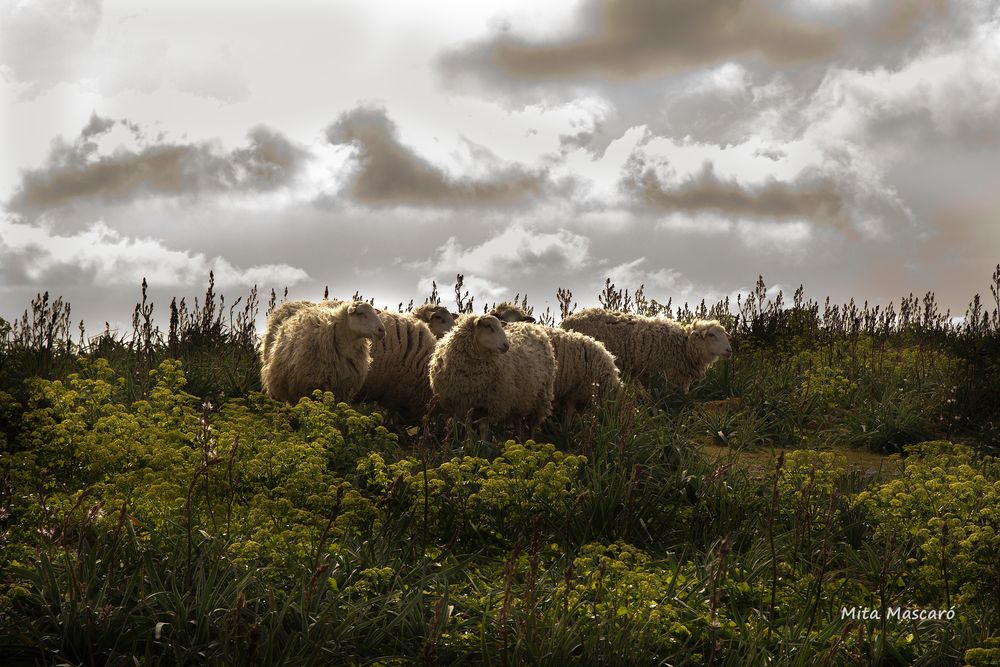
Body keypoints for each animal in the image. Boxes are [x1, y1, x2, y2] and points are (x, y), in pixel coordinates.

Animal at [428, 314, 560, 434]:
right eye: (488, 326)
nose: (506, 345)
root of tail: (530, 326)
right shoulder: (462, 404)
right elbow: (468, 427)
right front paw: (468, 443)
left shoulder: (493, 405)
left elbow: (483, 427)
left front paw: (482, 443)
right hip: (520, 399)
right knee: (518, 421)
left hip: (541, 398)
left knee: (532, 425)